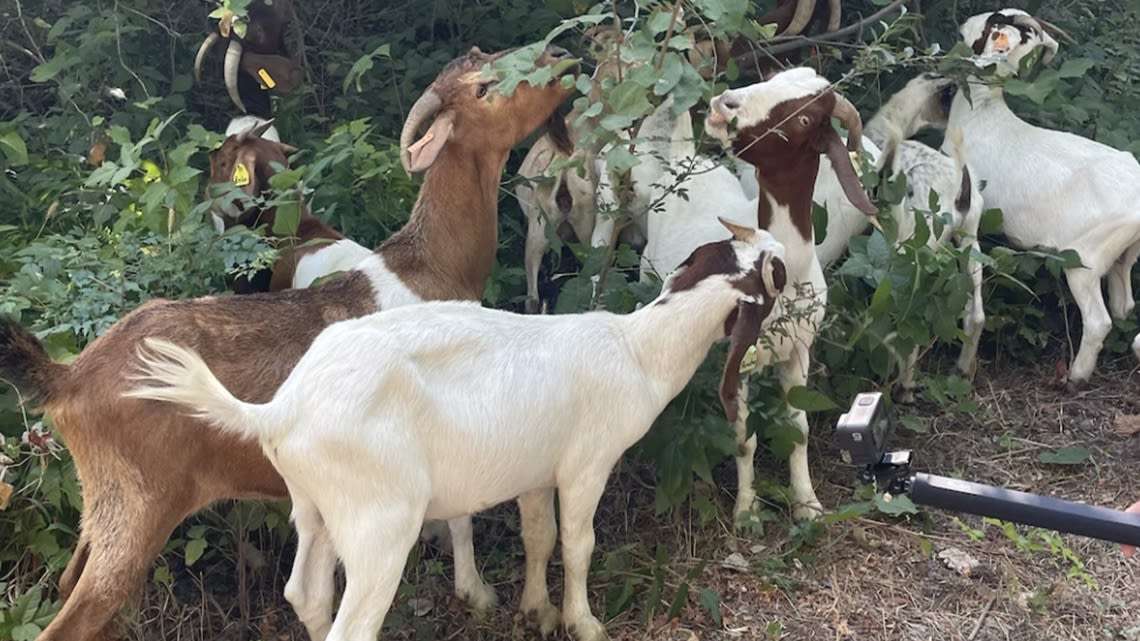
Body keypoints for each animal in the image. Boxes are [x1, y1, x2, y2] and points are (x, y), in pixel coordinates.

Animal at [0, 43, 574, 638]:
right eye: (484, 88)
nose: (560, 56)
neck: (427, 270)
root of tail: (69, 378)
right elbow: (462, 518)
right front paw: (479, 594)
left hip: (102, 508)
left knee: (69, 580)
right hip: (136, 504)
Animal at [124, 217, 784, 638]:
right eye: (773, 271)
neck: (638, 349)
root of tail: (280, 409)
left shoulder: (534, 471)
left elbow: (538, 537)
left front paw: (536, 612)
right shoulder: (585, 465)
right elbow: (578, 544)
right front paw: (584, 622)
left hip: (315, 507)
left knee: (305, 594)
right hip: (379, 520)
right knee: (353, 621)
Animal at [948, 8, 1135, 383]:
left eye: (992, 24)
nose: (963, 24)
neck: (984, 111)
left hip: (1085, 259)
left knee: (1099, 321)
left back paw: (1075, 378)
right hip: (1125, 255)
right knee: (1125, 306)